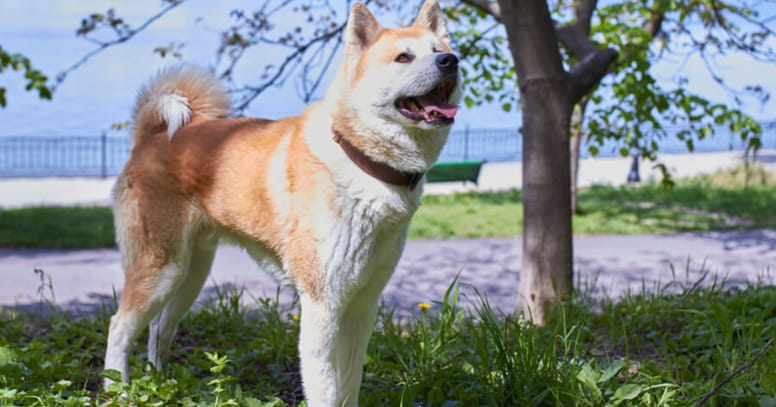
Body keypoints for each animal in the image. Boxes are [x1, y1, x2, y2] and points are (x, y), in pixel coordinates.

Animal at [104, 0, 460, 404]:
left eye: (438, 50)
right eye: (404, 57)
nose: (450, 60)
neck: (362, 162)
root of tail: (150, 136)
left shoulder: (362, 306)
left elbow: (350, 383)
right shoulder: (322, 305)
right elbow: (326, 389)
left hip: (189, 274)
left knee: (158, 329)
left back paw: (160, 381)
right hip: (159, 268)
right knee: (119, 327)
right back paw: (118, 390)